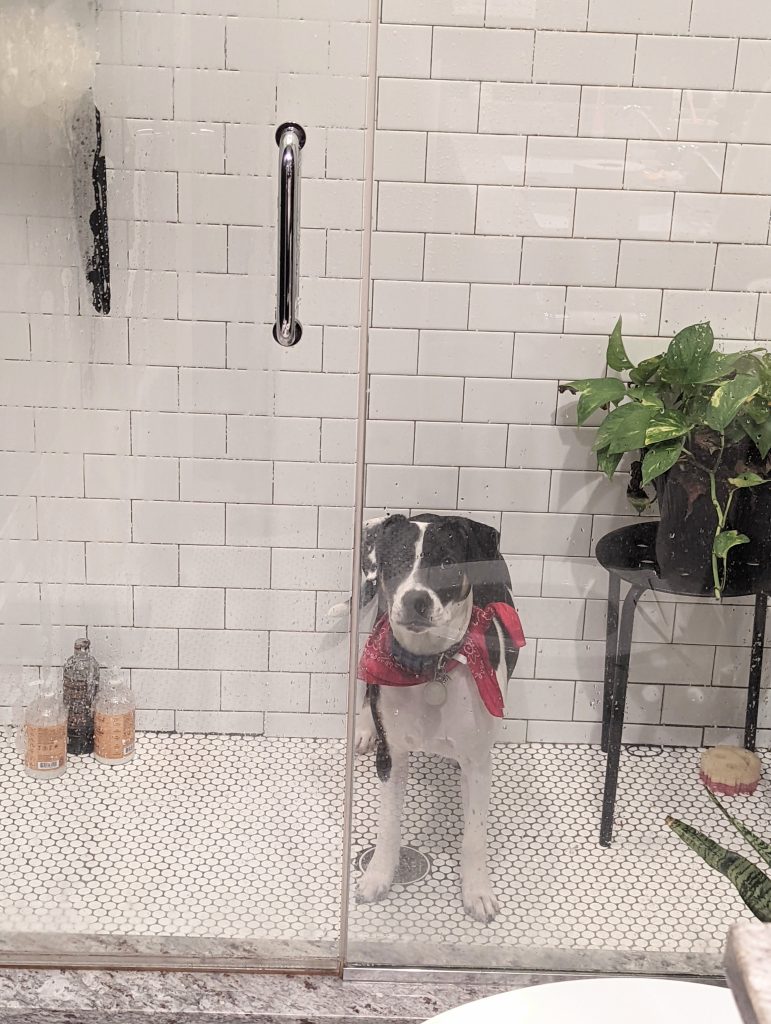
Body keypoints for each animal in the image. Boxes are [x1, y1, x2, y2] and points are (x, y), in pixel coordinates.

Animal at [354, 516, 524, 925]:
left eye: (447, 562)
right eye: (397, 560)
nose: (415, 600)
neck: (430, 667)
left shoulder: (478, 763)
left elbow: (475, 835)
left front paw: (477, 891)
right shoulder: (392, 756)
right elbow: (388, 825)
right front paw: (378, 876)